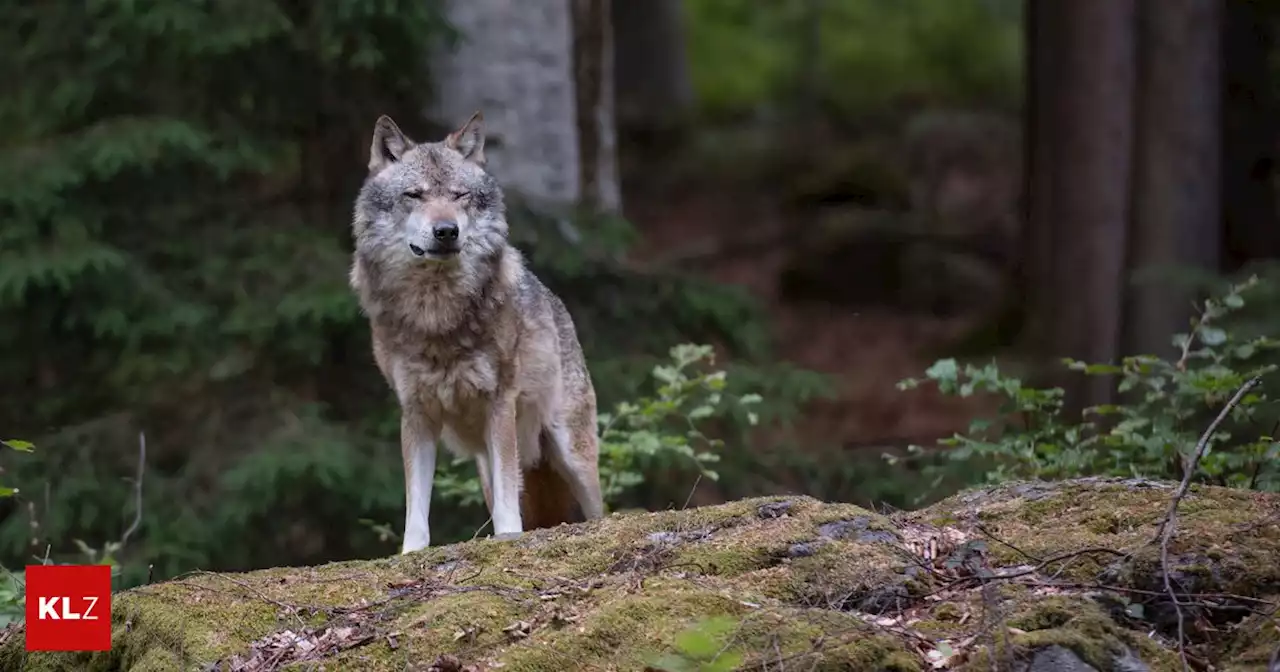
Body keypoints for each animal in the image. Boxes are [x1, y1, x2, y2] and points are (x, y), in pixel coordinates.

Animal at [348, 111, 606, 550]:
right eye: (414, 195)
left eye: (459, 195)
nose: (446, 231)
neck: (436, 313)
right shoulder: (415, 414)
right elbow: (416, 507)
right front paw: (410, 553)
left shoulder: (499, 404)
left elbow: (507, 504)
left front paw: (508, 539)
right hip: (487, 462)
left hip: (571, 451)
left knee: (599, 510)